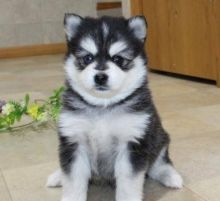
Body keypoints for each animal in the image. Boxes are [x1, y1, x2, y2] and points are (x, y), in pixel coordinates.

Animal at [46, 14, 182, 201]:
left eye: (118, 59)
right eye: (87, 58)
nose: (100, 77)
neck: (103, 106)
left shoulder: (132, 142)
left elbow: (128, 182)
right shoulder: (74, 140)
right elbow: (73, 179)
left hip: (159, 138)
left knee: (159, 164)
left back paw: (171, 176)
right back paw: (57, 176)